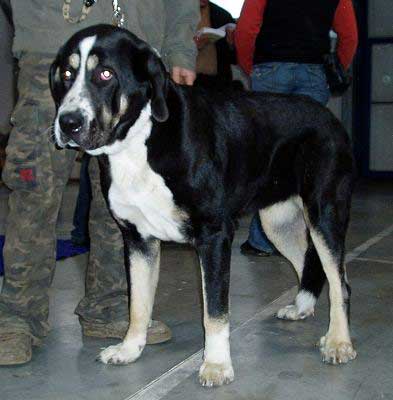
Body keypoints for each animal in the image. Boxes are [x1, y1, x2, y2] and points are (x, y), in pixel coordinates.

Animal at [49, 25, 356, 388]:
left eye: (105, 74)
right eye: (66, 74)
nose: (68, 123)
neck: (142, 141)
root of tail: (330, 117)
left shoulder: (214, 236)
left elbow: (214, 312)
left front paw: (217, 365)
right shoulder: (138, 241)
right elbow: (138, 304)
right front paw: (129, 349)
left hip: (324, 214)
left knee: (340, 282)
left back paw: (338, 341)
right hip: (276, 222)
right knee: (309, 262)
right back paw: (302, 307)